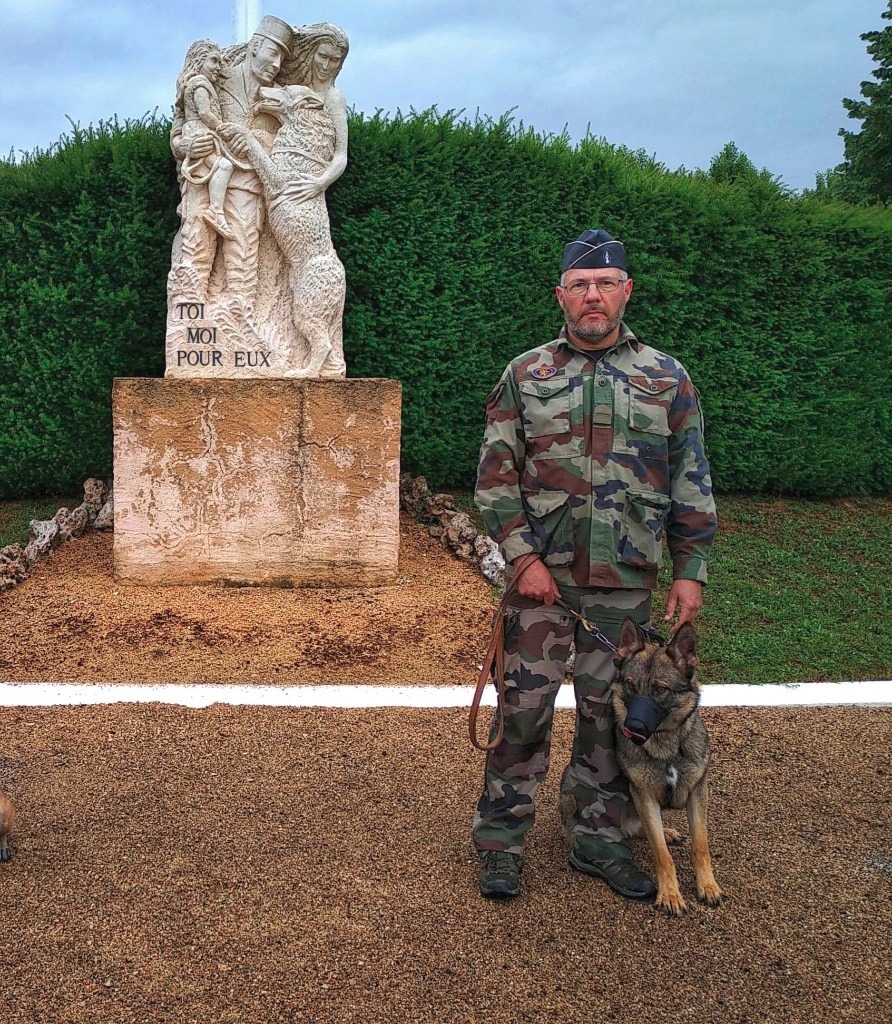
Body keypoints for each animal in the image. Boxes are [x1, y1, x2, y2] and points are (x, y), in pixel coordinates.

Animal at [614, 618, 725, 917]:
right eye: (630, 685)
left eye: (659, 689)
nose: (632, 727)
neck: (667, 748)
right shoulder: (643, 795)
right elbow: (662, 855)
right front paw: (671, 894)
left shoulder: (698, 791)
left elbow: (701, 845)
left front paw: (708, 885)